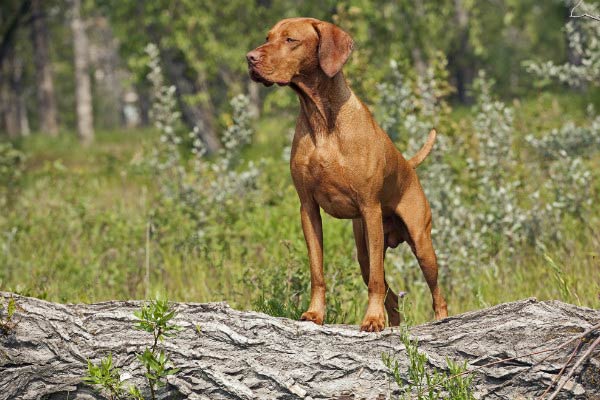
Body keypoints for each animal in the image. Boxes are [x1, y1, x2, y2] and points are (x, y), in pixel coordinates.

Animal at [246, 18, 448, 332]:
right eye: (267, 38)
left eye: (290, 39)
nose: (250, 58)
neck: (322, 120)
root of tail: (408, 164)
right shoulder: (308, 208)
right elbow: (318, 272)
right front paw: (315, 313)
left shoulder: (369, 207)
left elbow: (377, 282)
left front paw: (372, 319)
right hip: (363, 250)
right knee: (391, 296)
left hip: (421, 244)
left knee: (436, 293)